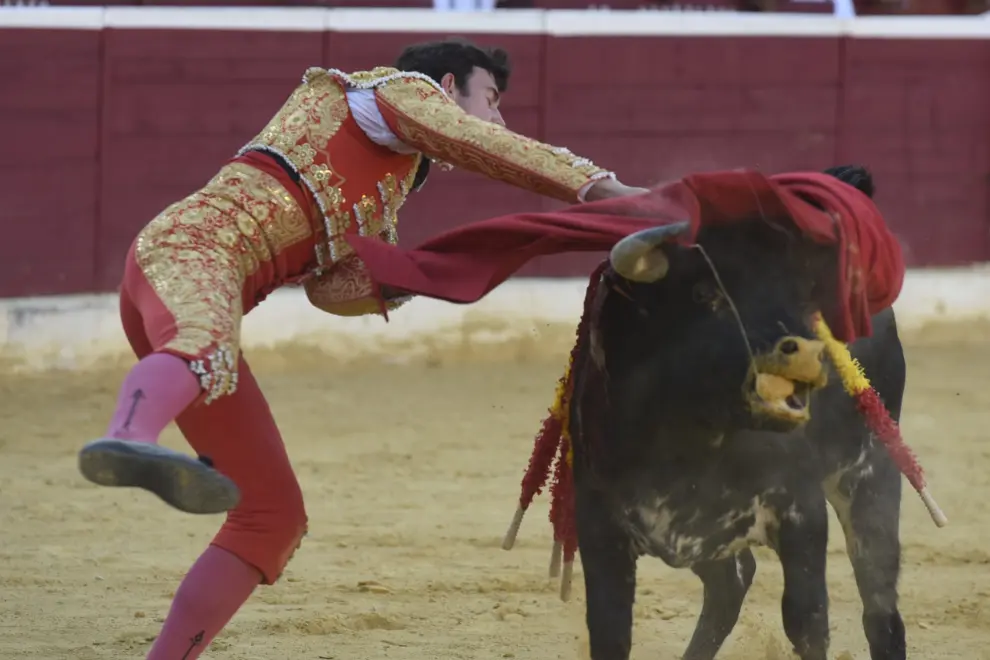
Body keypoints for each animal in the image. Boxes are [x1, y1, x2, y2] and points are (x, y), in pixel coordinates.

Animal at [568, 199, 912, 656]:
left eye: (795, 291)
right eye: (704, 293)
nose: (806, 354)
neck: (685, 442)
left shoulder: (802, 512)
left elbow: (806, 619)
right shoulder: (598, 527)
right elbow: (609, 632)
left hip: (871, 472)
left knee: (879, 608)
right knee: (730, 584)